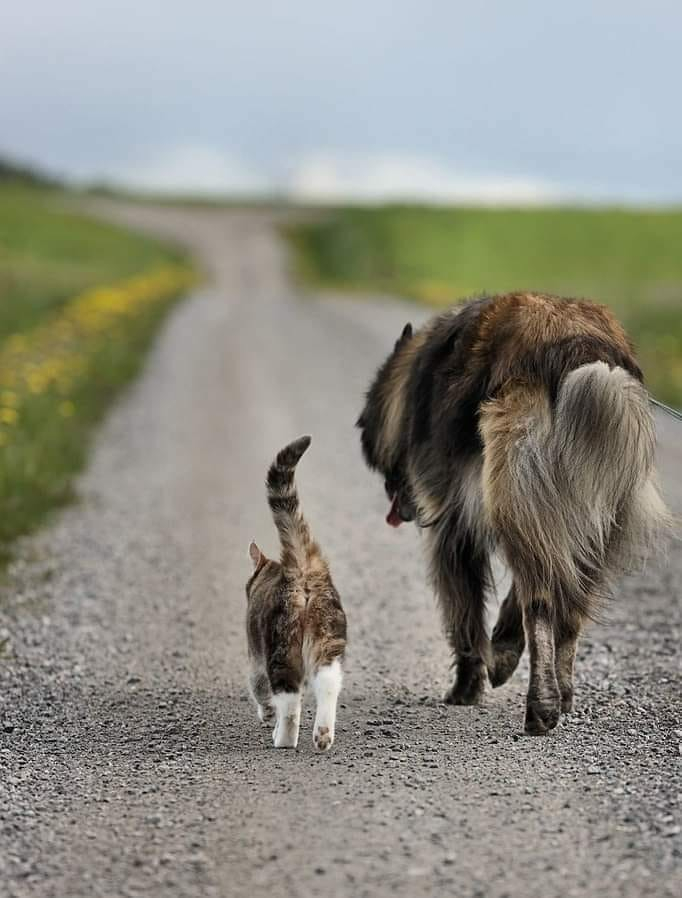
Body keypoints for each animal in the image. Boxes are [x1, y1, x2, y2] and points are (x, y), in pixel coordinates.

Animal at [244, 436, 346, 748]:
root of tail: (301, 566)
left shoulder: (255, 653)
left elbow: (259, 687)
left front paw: (266, 714)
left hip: (281, 645)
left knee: (289, 701)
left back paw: (284, 738)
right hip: (328, 637)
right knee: (328, 683)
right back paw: (322, 734)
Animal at [358, 290, 668, 732]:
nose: (395, 499)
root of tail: (583, 349)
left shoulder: (452, 527)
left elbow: (465, 616)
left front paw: (465, 688)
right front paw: (502, 651)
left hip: (514, 491)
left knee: (540, 605)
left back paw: (542, 706)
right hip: (596, 523)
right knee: (569, 611)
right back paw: (564, 693)